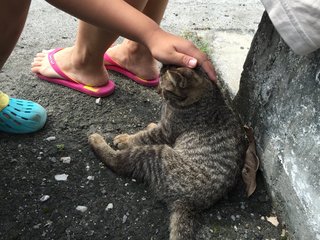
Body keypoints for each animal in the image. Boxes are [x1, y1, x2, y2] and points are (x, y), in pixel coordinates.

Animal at [89, 64, 246, 239]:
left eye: (162, 86)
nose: (157, 91)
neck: (206, 97)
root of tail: (189, 203)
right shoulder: (164, 127)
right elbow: (153, 126)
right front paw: (150, 124)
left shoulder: (164, 133)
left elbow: (143, 136)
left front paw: (126, 139)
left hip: (156, 153)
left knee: (119, 162)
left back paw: (97, 140)